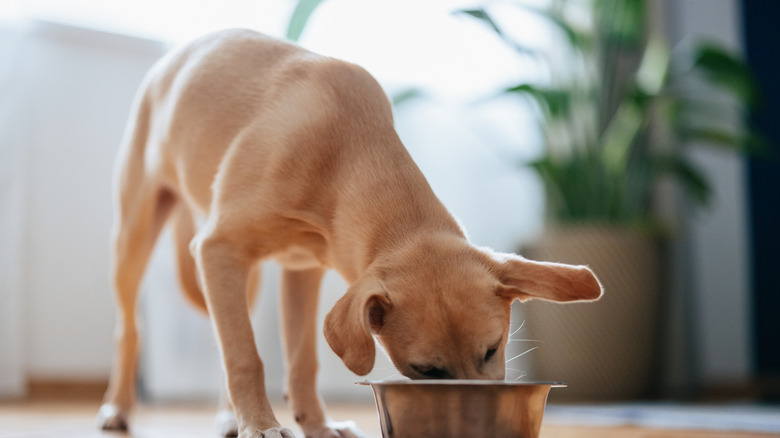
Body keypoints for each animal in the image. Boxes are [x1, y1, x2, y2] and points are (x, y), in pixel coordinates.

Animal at [97, 30, 604, 438]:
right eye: (427, 370)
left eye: (492, 350)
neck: (345, 149)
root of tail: (175, 55)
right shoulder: (217, 248)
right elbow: (245, 355)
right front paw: (261, 426)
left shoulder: (301, 272)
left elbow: (301, 361)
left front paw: (317, 426)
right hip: (135, 238)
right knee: (130, 331)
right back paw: (119, 408)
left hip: (242, 278)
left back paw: (226, 416)